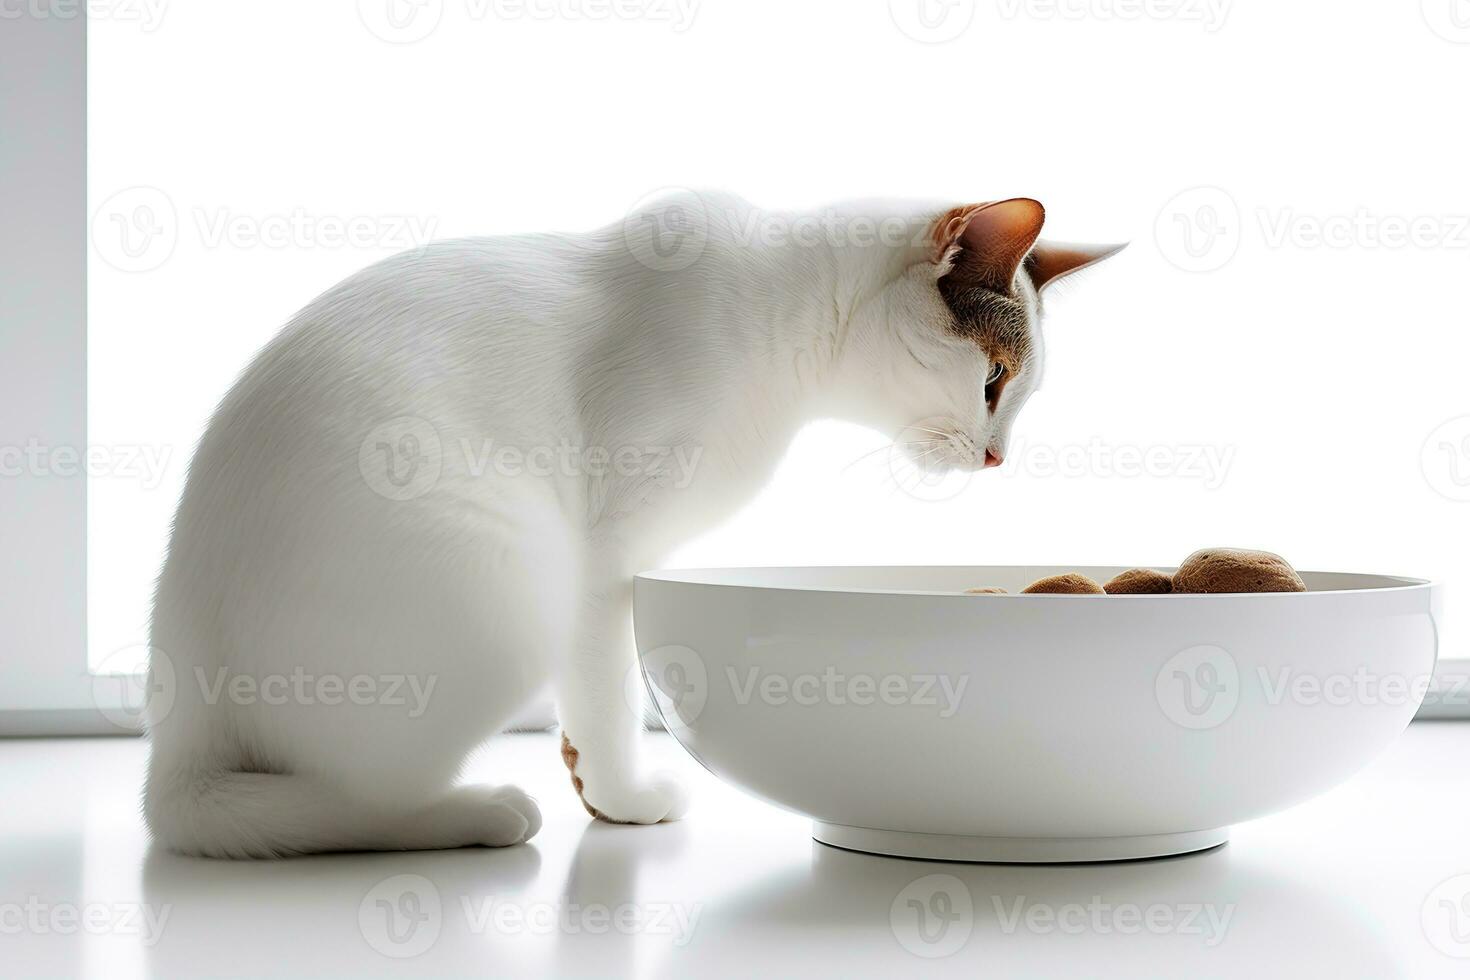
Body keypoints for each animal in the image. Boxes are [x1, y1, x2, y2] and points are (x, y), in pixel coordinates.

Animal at [143, 193, 1117, 858]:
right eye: (992, 381)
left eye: (1015, 390)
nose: (998, 459)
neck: (789, 324)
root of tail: (179, 713)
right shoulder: (604, 556)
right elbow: (609, 695)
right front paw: (619, 794)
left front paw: (590, 783)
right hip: (514, 570)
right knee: (360, 796)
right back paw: (479, 810)